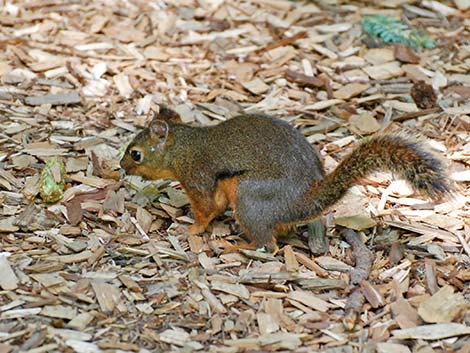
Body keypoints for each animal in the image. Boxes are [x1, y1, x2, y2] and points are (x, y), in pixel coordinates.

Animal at [121, 106, 452, 252]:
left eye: (135, 154)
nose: (122, 166)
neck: (182, 147)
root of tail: (300, 204)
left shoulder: (197, 174)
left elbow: (206, 208)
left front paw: (190, 230)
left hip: (249, 198)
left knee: (267, 245)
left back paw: (238, 246)